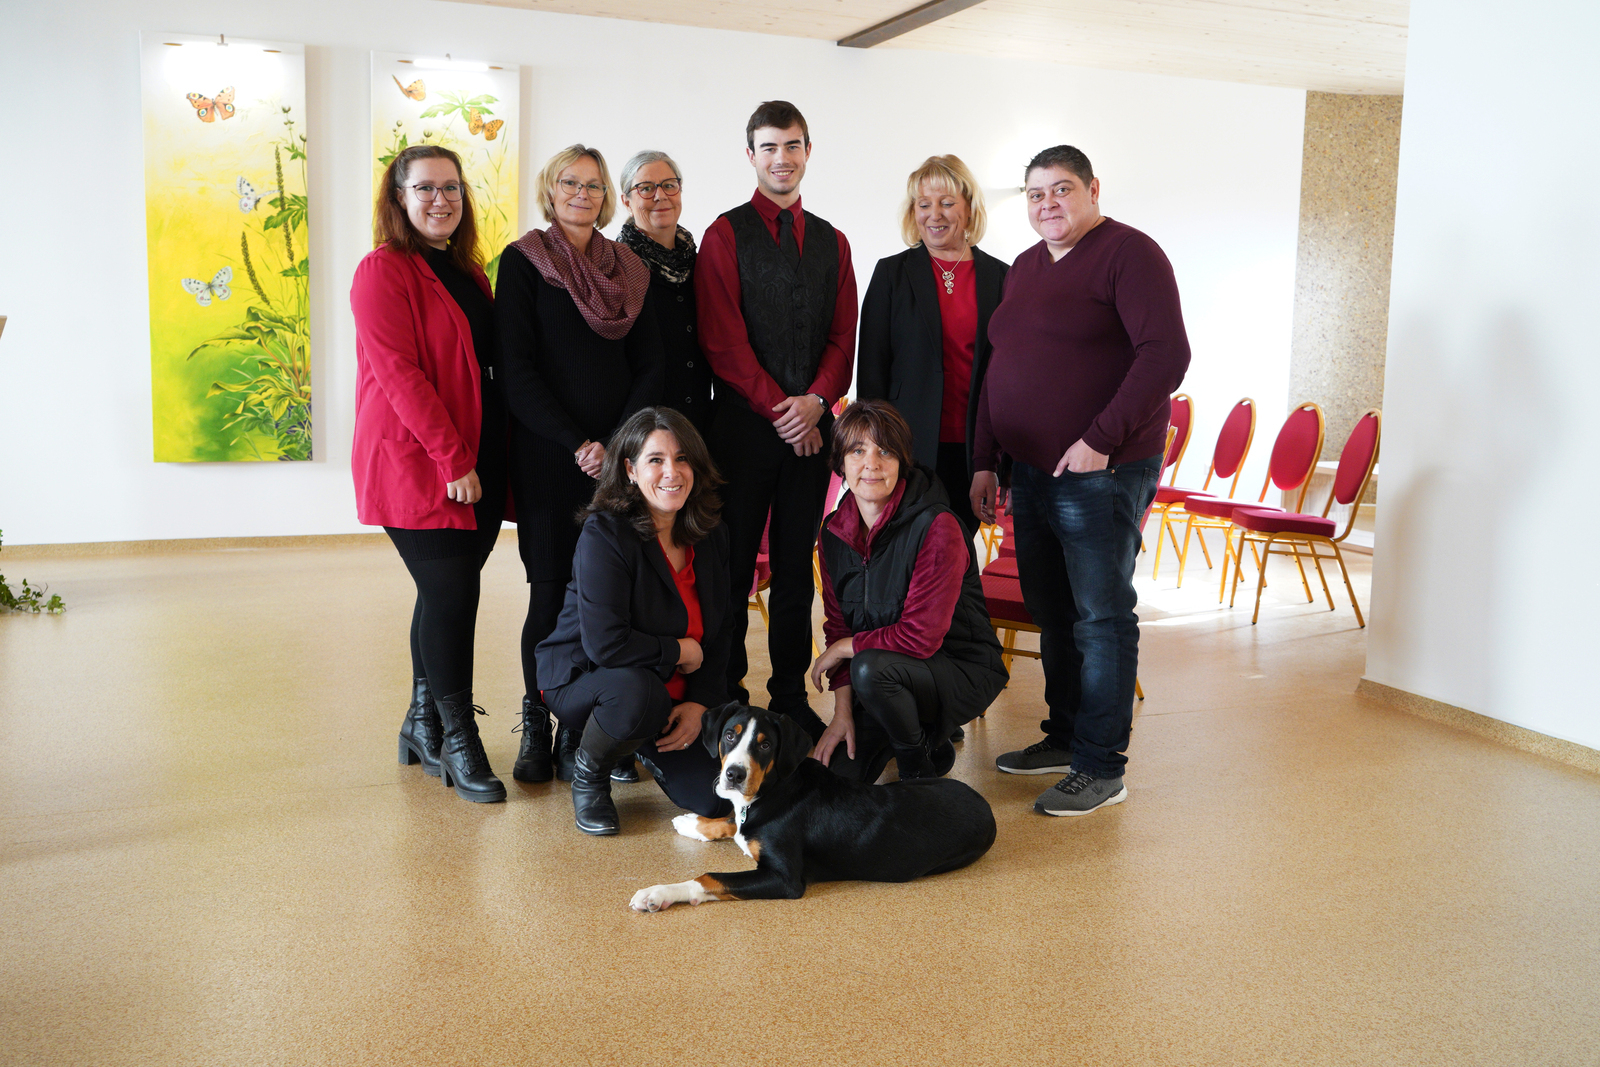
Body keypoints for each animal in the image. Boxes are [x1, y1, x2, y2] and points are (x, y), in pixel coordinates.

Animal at [630, 703, 992, 915]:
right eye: (730, 735)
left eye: (765, 745)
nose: (733, 774)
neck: (774, 790)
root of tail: (984, 803)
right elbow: (732, 821)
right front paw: (692, 823)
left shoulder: (785, 878)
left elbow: (708, 877)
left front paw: (657, 893)